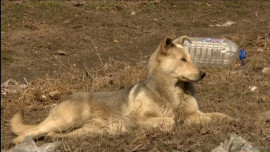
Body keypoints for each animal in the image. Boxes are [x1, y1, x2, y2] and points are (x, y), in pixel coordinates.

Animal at [9, 35, 231, 144]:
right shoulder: (140, 118)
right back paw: (19, 143)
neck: (171, 92)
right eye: (183, 60)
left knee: (59, 135)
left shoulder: (194, 114)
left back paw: (51, 139)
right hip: (66, 120)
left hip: (91, 130)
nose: (203, 74)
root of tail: (63, 99)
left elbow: (218, 115)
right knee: (28, 133)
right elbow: (169, 121)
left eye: (191, 58)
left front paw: (230, 120)